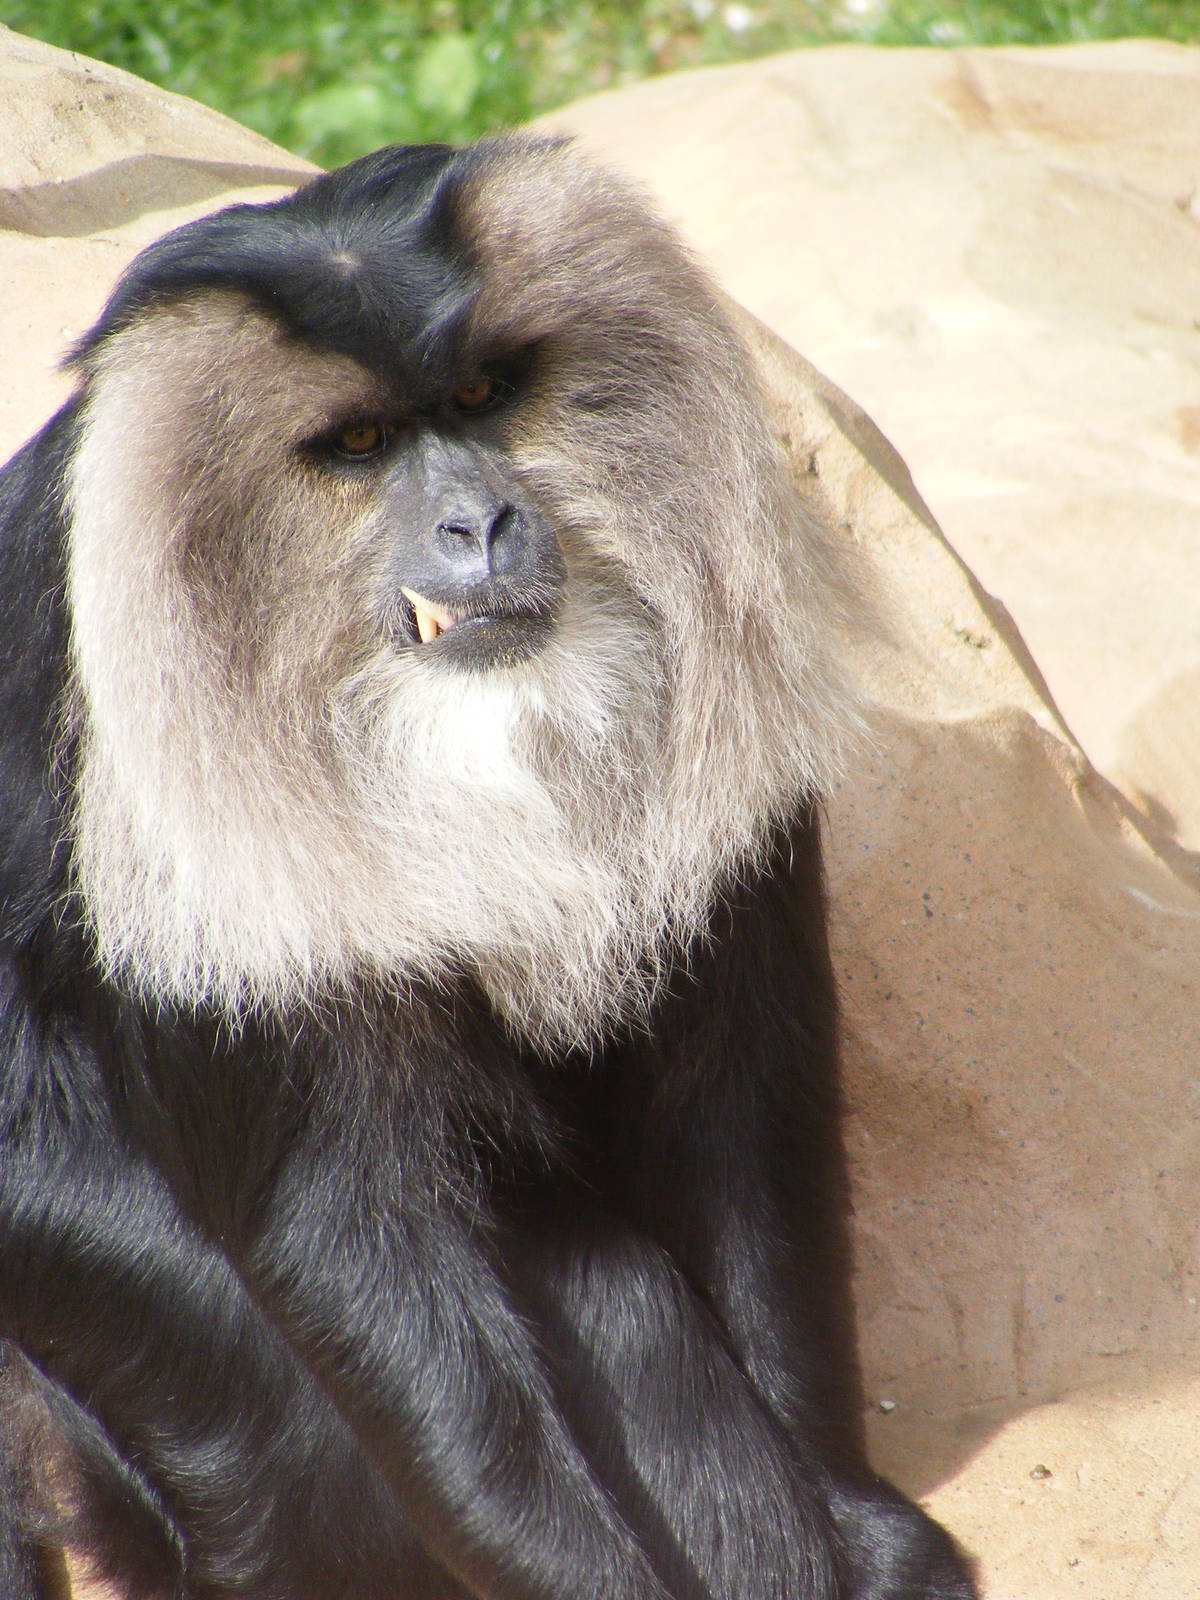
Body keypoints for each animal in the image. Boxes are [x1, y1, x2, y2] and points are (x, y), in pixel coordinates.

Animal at [0, 136, 976, 1600]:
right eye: (357, 445)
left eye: (480, 396)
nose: (480, 523)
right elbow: (353, 1240)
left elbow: (738, 1124)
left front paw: (865, 1535)